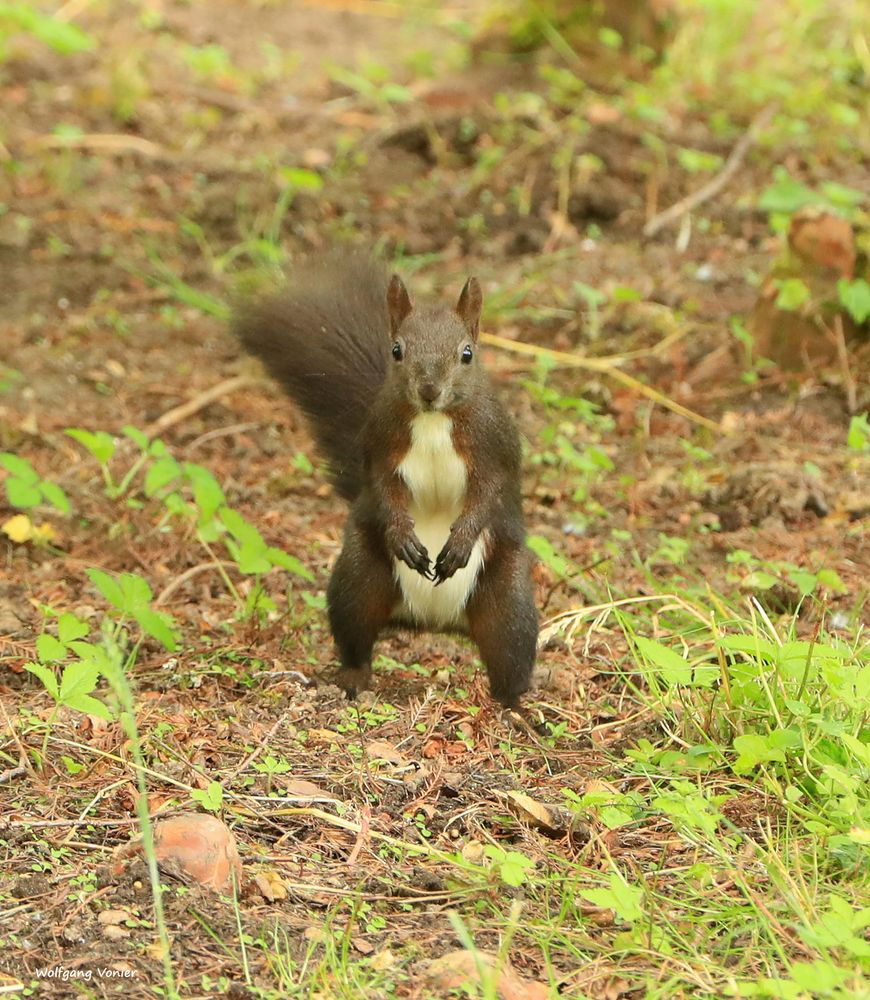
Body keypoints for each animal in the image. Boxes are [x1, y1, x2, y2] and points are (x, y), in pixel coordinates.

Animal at [235, 250, 540, 708]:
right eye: (396, 351)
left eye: (467, 354)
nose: (429, 389)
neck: (433, 420)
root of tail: (433, 620)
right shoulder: (379, 444)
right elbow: (381, 486)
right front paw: (402, 534)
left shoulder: (494, 446)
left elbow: (489, 492)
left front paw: (460, 541)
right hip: (359, 579)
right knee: (356, 633)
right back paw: (353, 679)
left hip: (508, 605)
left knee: (509, 655)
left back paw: (511, 708)